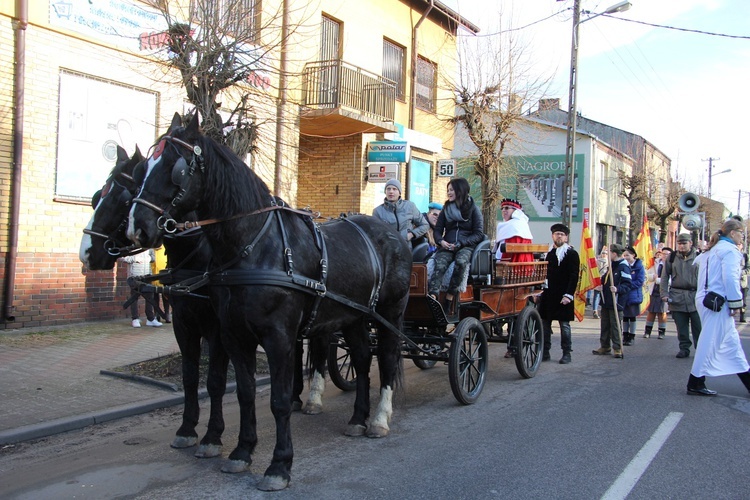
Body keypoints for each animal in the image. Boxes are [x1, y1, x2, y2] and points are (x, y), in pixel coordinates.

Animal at [127, 114, 414, 492]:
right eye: (143, 168)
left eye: (175, 169)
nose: (136, 227)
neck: (254, 246)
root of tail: (390, 233)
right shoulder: (234, 336)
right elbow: (246, 393)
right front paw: (241, 451)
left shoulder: (278, 338)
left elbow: (278, 400)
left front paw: (279, 465)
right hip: (353, 317)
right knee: (364, 361)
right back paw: (357, 418)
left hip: (389, 313)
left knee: (389, 359)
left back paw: (379, 419)